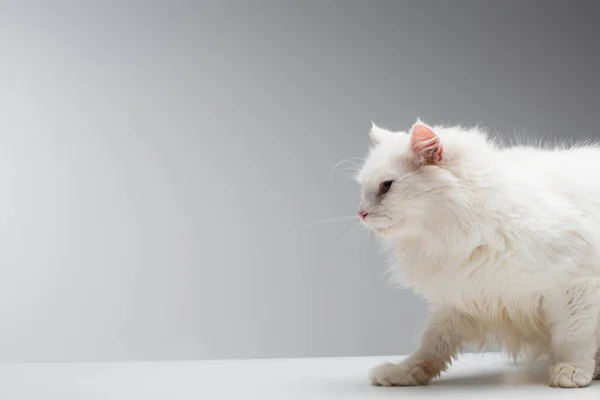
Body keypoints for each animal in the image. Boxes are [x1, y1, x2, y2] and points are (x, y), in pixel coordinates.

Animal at [358, 119, 600, 388]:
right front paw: (403, 372)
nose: (361, 213)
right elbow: (431, 346)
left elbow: (574, 337)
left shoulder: (576, 285)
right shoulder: (463, 297)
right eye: (363, 188)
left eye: (386, 186)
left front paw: (573, 370)